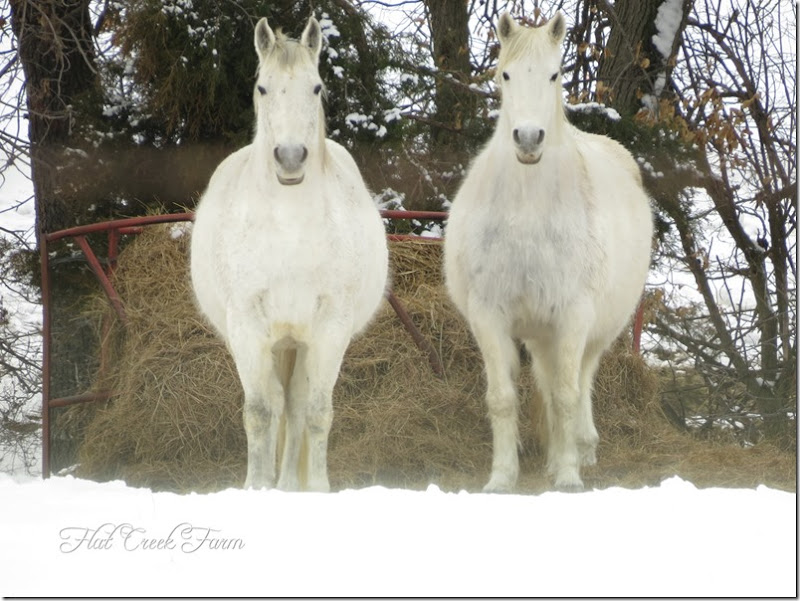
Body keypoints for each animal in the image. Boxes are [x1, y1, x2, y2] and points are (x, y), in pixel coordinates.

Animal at [190, 16, 388, 492]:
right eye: (263, 88)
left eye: (316, 88)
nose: (292, 158)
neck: (289, 230)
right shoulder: (247, 328)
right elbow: (260, 412)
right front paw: (256, 487)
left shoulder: (330, 330)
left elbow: (315, 412)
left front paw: (315, 489)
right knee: (278, 403)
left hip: (300, 342)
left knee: (296, 405)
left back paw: (289, 486)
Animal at [443, 12, 653, 492]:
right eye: (504, 74)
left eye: (555, 75)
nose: (528, 138)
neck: (528, 211)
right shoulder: (489, 315)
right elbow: (503, 398)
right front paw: (502, 478)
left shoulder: (574, 315)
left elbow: (566, 394)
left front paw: (569, 477)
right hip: (541, 334)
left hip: (593, 331)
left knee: (579, 380)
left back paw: (579, 450)